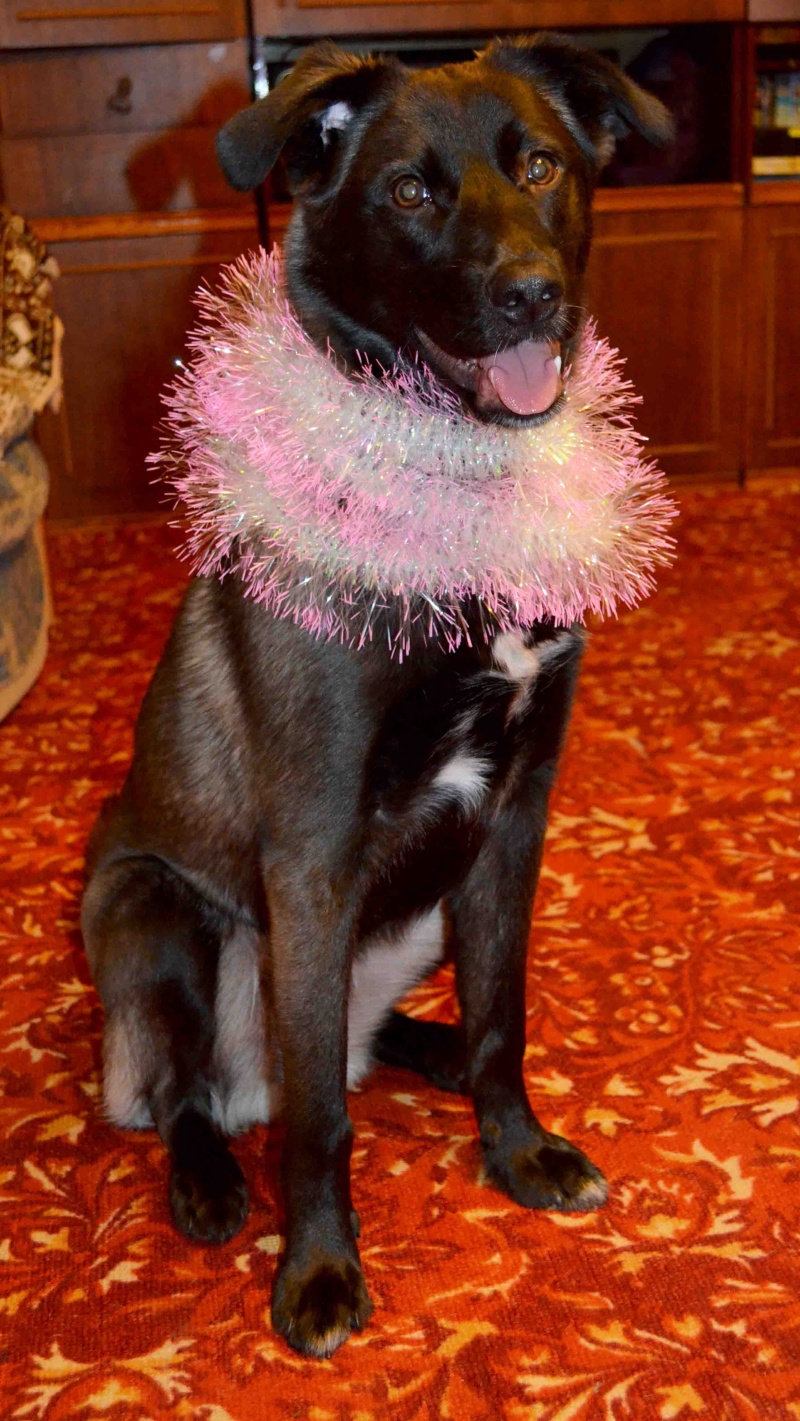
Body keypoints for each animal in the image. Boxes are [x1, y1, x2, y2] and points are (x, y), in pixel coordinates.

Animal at [81, 34, 671, 1358]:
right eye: (408, 192)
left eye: (539, 165)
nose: (529, 295)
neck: (459, 493)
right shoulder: (311, 850)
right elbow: (318, 1123)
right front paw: (315, 1270)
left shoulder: (512, 814)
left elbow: (504, 1011)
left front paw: (515, 1148)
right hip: (152, 911)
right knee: (201, 1089)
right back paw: (209, 1179)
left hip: (409, 914)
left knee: (354, 1040)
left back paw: (429, 1053)